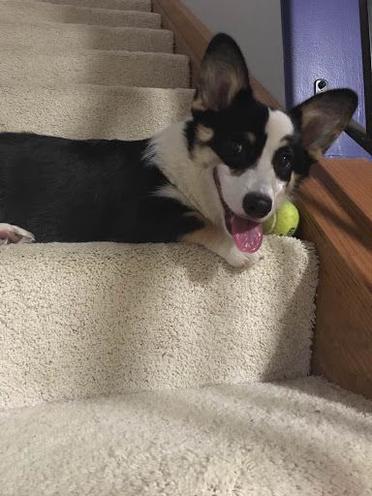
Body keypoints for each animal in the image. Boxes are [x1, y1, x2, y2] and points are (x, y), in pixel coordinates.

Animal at [0, 34, 358, 268]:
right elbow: (196, 220)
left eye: (285, 162)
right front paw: (240, 251)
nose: (259, 205)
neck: (188, 176)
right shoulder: (142, 215)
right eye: (236, 146)